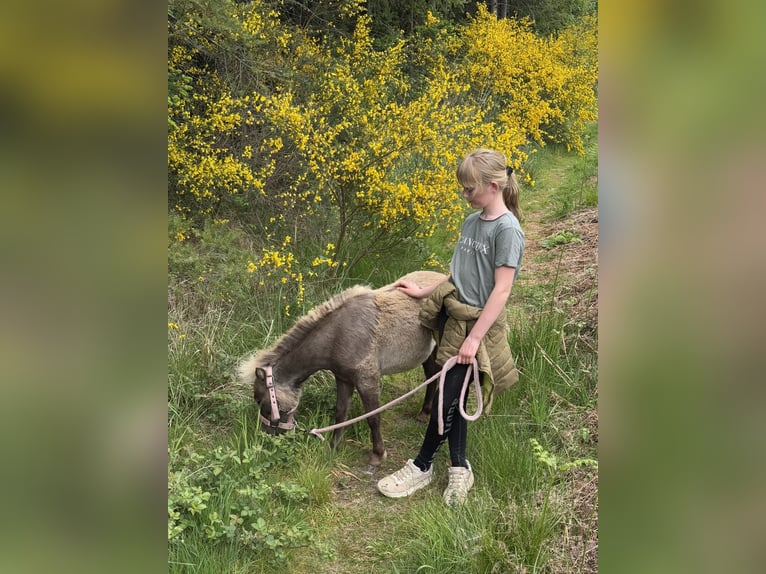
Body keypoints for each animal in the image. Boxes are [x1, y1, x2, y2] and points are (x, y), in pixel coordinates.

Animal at [235, 270, 447, 465]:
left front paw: (378, 454)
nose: (267, 437)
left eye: (261, 402)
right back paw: (424, 413)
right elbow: (341, 413)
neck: (337, 335)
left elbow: (373, 417)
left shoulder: (368, 381)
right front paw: (333, 447)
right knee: (432, 375)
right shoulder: (344, 379)